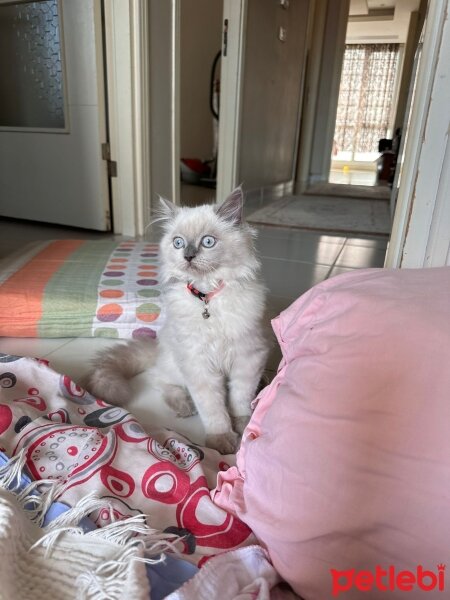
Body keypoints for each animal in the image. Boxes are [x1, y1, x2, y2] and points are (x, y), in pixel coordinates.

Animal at [86, 186, 268, 450]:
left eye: (208, 242)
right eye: (178, 242)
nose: (188, 256)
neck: (207, 297)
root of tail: (158, 346)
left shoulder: (248, 357)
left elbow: (239, 399)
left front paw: (243, 427)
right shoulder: (197, 363)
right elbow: (213, 409)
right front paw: (221, 440)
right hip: (176, 364)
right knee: (160, 379)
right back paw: (184, 406)